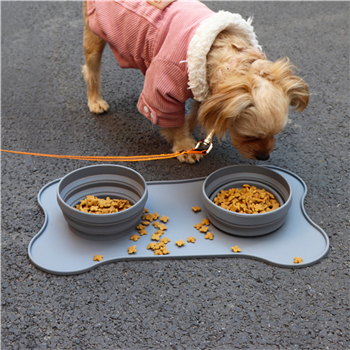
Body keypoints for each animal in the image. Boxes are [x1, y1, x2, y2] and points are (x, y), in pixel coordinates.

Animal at [82, 0, 308, 164]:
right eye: (250, 136)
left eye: (275, 134)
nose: (264, 157)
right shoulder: (163, 89)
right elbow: (172, 118)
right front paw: (184, 145)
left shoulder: (202, 86)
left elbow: (196, 114)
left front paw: (189, 134)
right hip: (93, 31)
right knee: (91, 69)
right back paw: (95, 101)